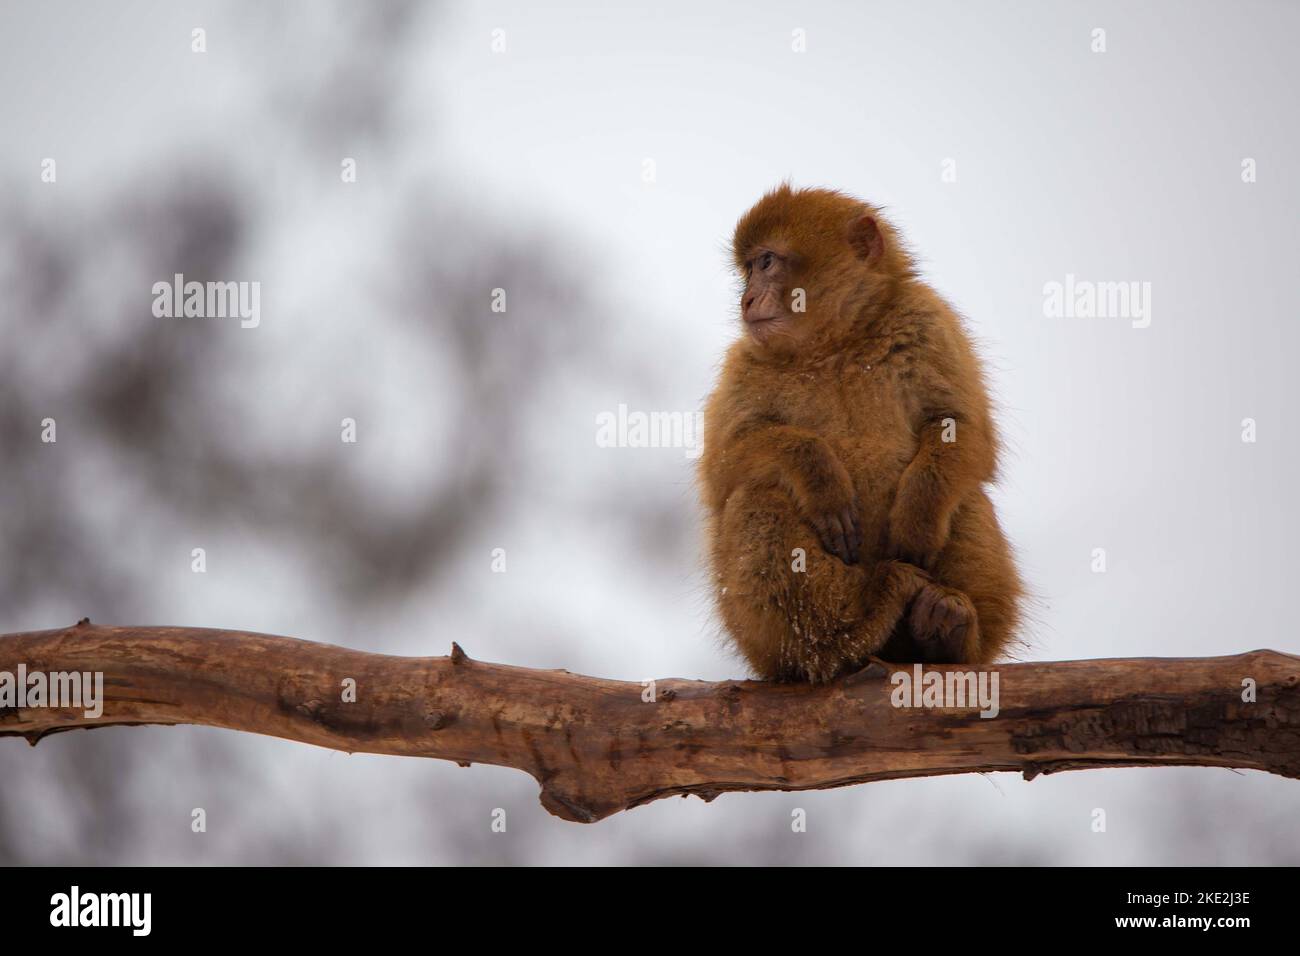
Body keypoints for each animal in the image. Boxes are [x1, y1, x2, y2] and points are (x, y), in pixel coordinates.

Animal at [696, 184, 1019, 681]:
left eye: (765, 262)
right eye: (749, 269)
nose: (747, 300)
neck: (838, 343)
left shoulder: (930, 321)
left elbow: (961, 426)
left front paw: (918, 515)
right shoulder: (744, 362)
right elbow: (723, 466)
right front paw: (819, 476)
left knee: (966, 495)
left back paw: (948, 631)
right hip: (761, 639)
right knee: (759, 495)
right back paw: (846, 630)